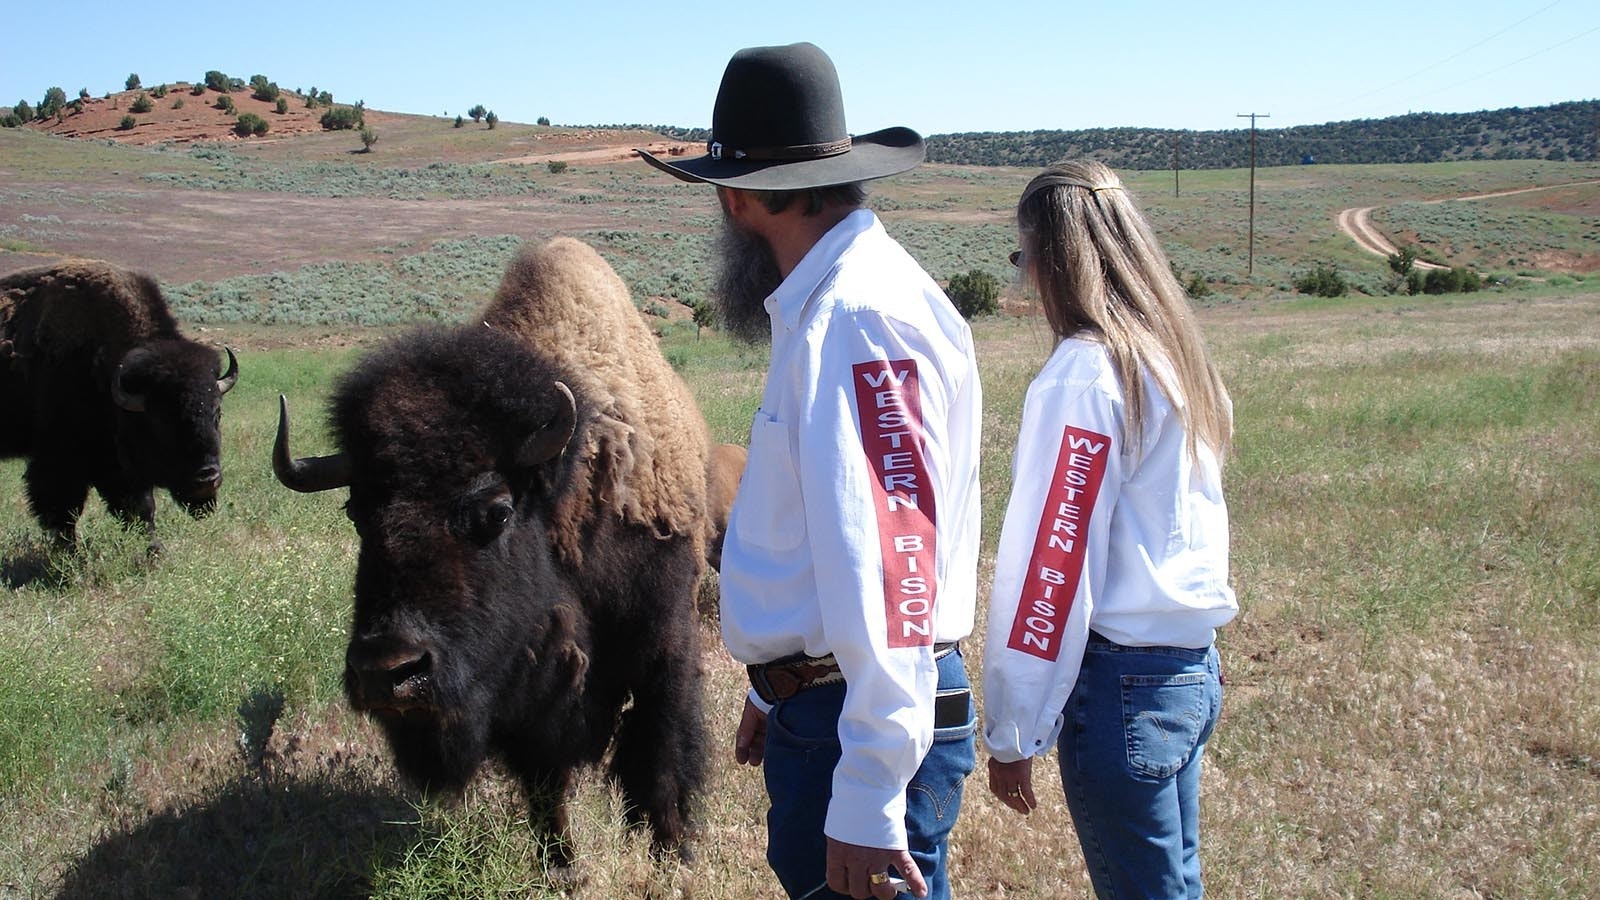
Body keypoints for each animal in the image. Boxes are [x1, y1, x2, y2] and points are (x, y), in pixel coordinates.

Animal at [0, 259, 236, 550]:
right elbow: (64, 512)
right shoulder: (59, 459)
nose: (207, 479)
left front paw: (154, 552)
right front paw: (68, 556)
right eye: (161, 420)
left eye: (217, 413)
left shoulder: (115, 463)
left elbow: (140, 508)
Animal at [275, 238, 713, 864]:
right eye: (356, 512)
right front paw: (561, 866)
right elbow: (545, 786)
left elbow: (661, 762)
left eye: (498, 511)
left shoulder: (664, 646)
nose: (388, 671)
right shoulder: (525, 696)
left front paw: (674, 857)